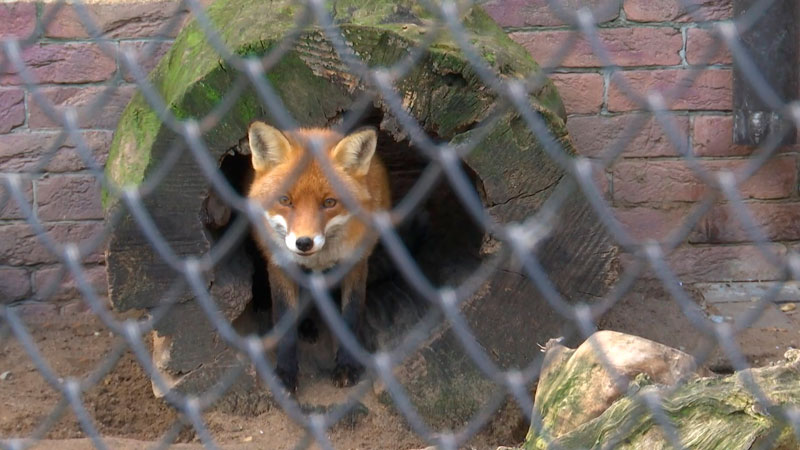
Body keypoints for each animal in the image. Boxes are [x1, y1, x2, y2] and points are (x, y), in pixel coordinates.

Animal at [247, 121, 390, 392]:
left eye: (329, 202)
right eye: (285, 200)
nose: (304, 242)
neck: (318, 260)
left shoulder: (356, 262)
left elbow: (350, 316)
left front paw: (347, 366)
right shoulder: (279, 265)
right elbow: (284, 322)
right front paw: (285, 373)